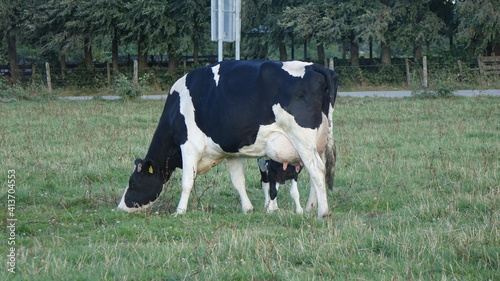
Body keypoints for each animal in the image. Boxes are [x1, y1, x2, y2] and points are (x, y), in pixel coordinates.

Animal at [117, 58, 338, 217]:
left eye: (133, 183)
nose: (120, 207)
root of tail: (314, 66)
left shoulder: (189, 146)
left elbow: (187, 181)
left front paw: (179, 211)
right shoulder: (232, 152)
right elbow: (238, 181)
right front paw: (248, 208)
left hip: (303, 139)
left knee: (317, 169)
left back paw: (323, 212)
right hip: (318, 142)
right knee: (317, 171)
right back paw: (310, 207)